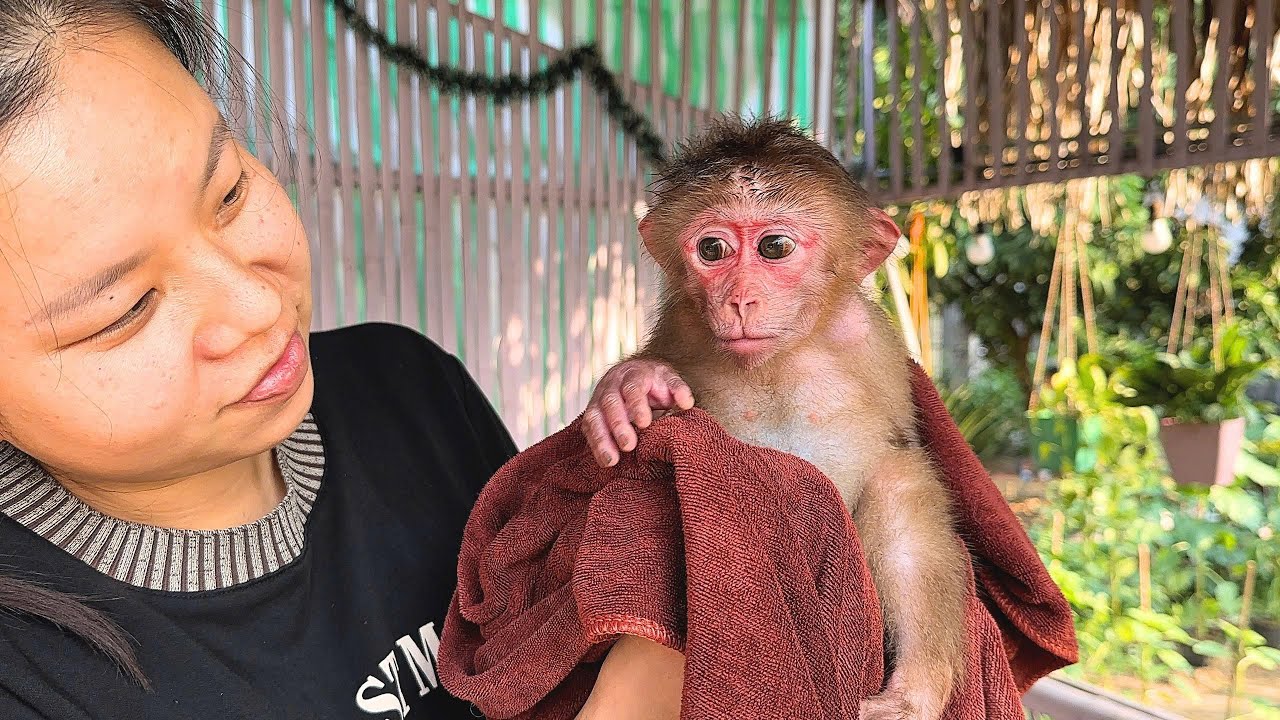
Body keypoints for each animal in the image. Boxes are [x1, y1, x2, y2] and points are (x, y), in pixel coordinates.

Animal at [583, 116, 969, 720]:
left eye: (775, 247)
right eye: (712, 248)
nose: (740, 300)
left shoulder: (871, 341)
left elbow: (902, 483)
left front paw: (915, 693)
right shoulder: (682, 328)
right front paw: (629, 387)